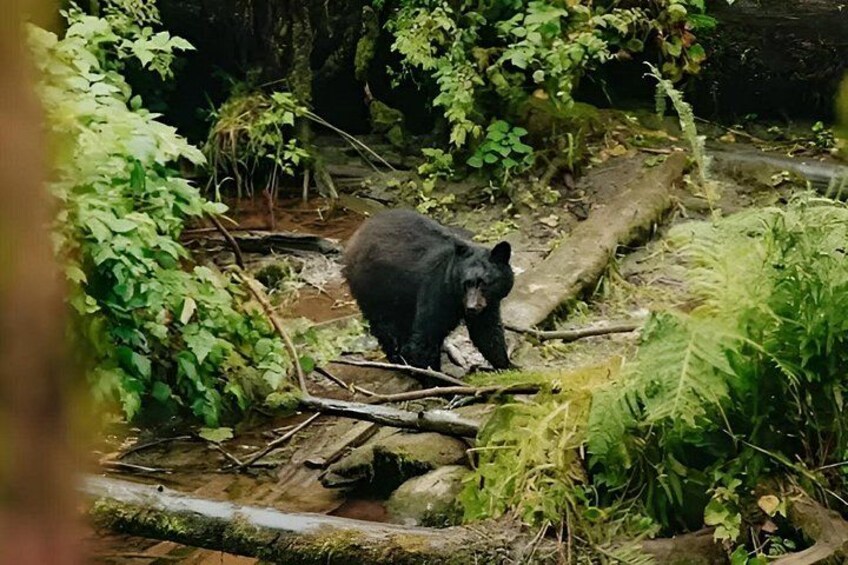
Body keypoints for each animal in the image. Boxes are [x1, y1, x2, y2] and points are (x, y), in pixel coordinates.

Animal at [342, 209, 514, 371]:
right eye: (466, 283)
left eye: (484, 283)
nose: (471, 307)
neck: (456, 297)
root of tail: (358, 233)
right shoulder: (437, 290)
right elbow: (426, 337)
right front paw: (436, 377)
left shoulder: (488, 304)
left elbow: (487, 333)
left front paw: (507, 366)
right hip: (375, 286)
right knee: (385, 326)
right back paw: (399, 360)